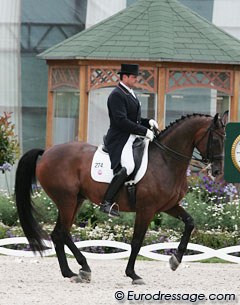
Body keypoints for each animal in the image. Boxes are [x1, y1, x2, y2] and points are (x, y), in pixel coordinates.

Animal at [14, 113, 225, 284]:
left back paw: (70, 273)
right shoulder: (146, 209)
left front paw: (175, 260)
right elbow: (137, 241)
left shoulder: (169, 205)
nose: (217, 172)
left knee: (58, 234)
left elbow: (190, 222)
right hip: (67, 200)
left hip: (75, 200)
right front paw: (133, 274)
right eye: (215, 139)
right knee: (64, 233)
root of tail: (47, 152)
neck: (166, 161)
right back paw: (84, 268)